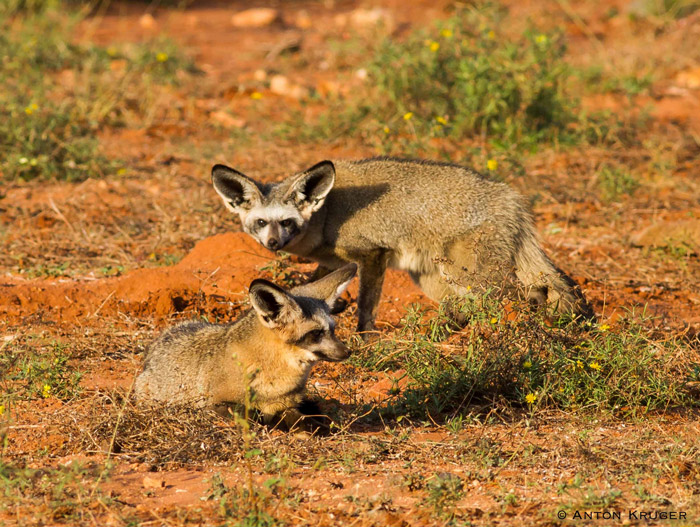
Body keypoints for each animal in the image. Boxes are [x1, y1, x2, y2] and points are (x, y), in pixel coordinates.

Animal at [135, 264, 358, 434]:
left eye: (332, 330)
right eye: (316, 333)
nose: (347, 352)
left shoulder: (288, 402)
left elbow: (298, 416)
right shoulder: (214, 403)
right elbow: (252, 414)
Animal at [211, 155, 592, 334]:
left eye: (287, 221)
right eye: (261, 223)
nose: (274, 243)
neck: (327, 214)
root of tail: (510, 197)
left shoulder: (372, 255)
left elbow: (366, 309)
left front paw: (365, 341)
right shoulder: (335, 262)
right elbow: (310, 288)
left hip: (470, 276)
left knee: (530, 293)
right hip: (435, 280)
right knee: (470, 307)